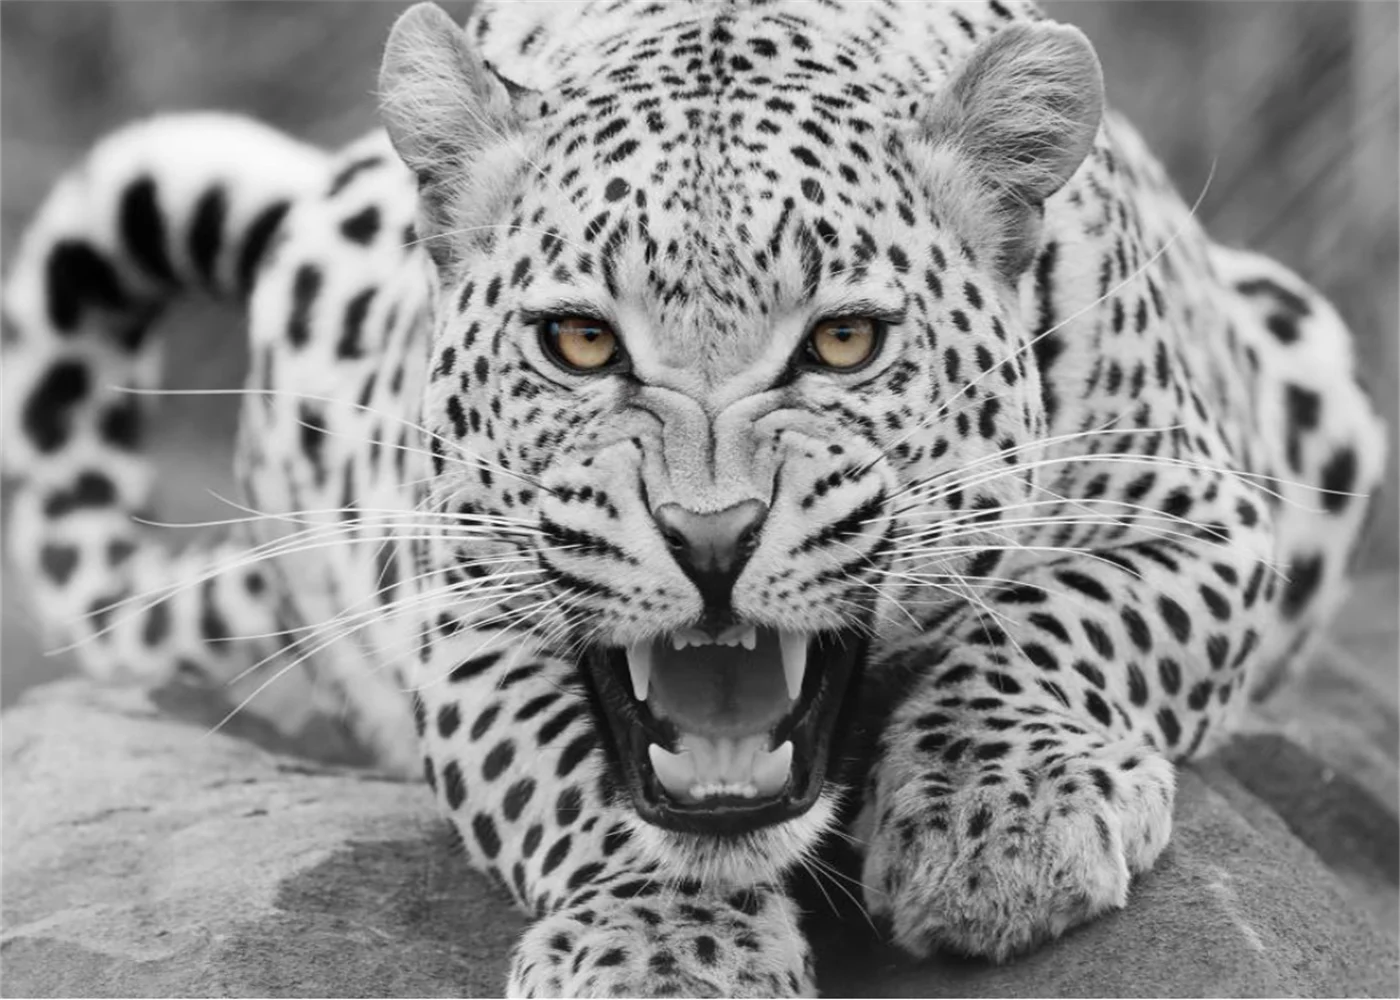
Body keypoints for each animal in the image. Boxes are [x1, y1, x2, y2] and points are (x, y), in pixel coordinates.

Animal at [2, 1, 1388, 996]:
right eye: (576, 343)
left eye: (841, 344)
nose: (709, 539)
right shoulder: (460, 609)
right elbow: (574, 782)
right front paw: (665, 951)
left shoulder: (1201, 507)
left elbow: (1064, 622)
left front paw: (997, 823)